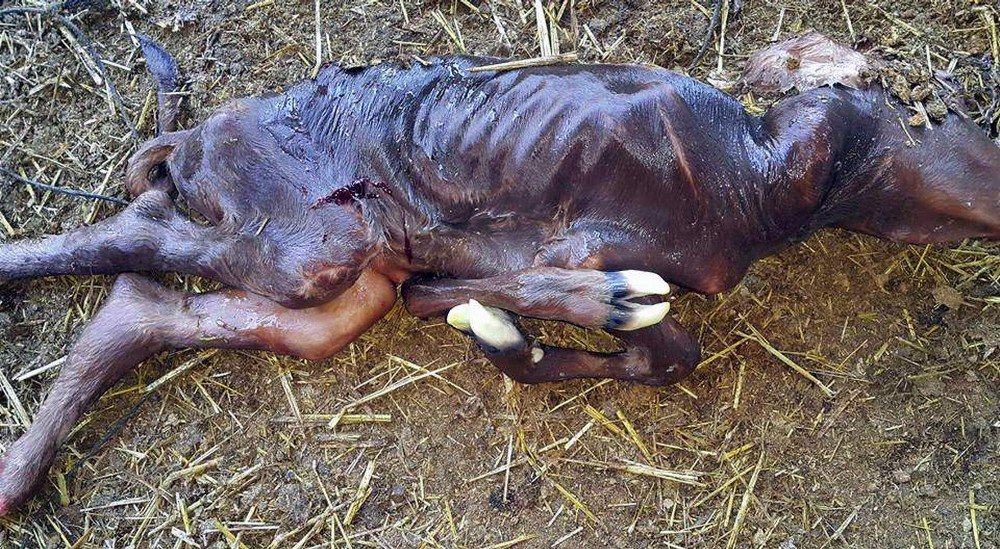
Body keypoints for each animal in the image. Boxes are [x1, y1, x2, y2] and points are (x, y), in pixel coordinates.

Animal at [1, 35, 1000, 512]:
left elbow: (663, 350)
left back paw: (24, 467)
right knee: (139, 234)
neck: (764, 178)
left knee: (151, 303)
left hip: (333, 284)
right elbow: (581, 295)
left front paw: (501, 333)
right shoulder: (574, 231)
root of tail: (195, 138)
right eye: (959, 107)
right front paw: (581, 306)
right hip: (313, 239)